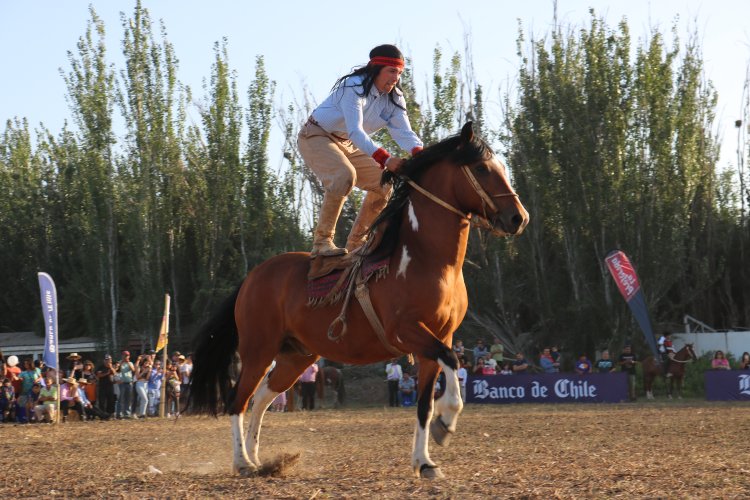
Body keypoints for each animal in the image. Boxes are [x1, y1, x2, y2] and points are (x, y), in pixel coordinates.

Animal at [188, 123, 528, 478]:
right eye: (481, 168)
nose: (519, 218)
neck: (427, 260)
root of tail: (253, 277)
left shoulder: (437, 340)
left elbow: (424, 404)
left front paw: (424, 461)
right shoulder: (407, 332)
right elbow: (452, 362)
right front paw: (445, 422)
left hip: (296, 356)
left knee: (263, 396)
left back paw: (260, 460)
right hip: (258, 349)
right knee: (237, 399)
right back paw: (242, 462)